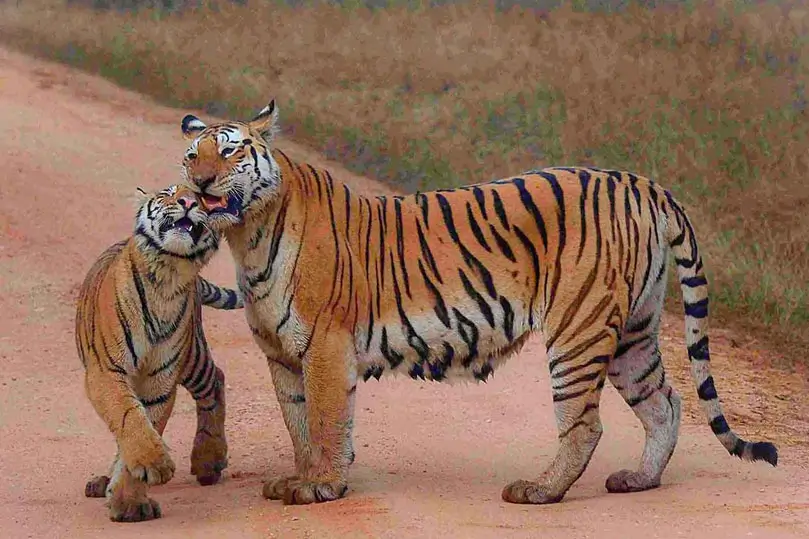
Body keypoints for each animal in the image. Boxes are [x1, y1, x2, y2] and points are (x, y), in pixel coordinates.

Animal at [76, 184, 242, 522]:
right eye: (169, 193)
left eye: (201, 198)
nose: (189, 201)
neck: (168, 276)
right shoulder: (107, 372)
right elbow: (129, 418)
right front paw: (151, 464)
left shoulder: (160, 380)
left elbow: (146, 422)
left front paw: (129, 500)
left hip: (192, 357)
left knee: (215, 380)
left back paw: (208, 460)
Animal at [177, 99, 778, 506]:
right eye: (191, 155)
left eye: (228, 150)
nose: (200, 183)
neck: (248, 234)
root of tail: (640, 181)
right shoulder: (282, 353)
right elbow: (299, 423)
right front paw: (305, 478)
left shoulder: (325, 343)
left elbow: (324, 420)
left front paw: (321, 486)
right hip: (634, 330)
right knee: (665, 402)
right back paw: (640, 480)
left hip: (578, 329)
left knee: (585, 424)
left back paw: (540, 490)